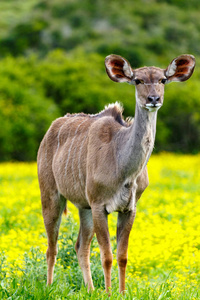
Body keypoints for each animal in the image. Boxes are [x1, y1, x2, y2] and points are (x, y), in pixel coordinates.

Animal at [37, 54, 195, 292]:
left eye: (163, 80)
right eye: (138, 80)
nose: (153, 99)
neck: (123, 168)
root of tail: (49, 130)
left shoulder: (129, 209)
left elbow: (122, 256)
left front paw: (120, 292)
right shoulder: (99, 205)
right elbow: (107, 256)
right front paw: (109, 292)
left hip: (83, 207)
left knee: (80, 246)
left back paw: (90, 289)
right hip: (52, 196)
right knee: (51, 247)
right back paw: (48, 286)